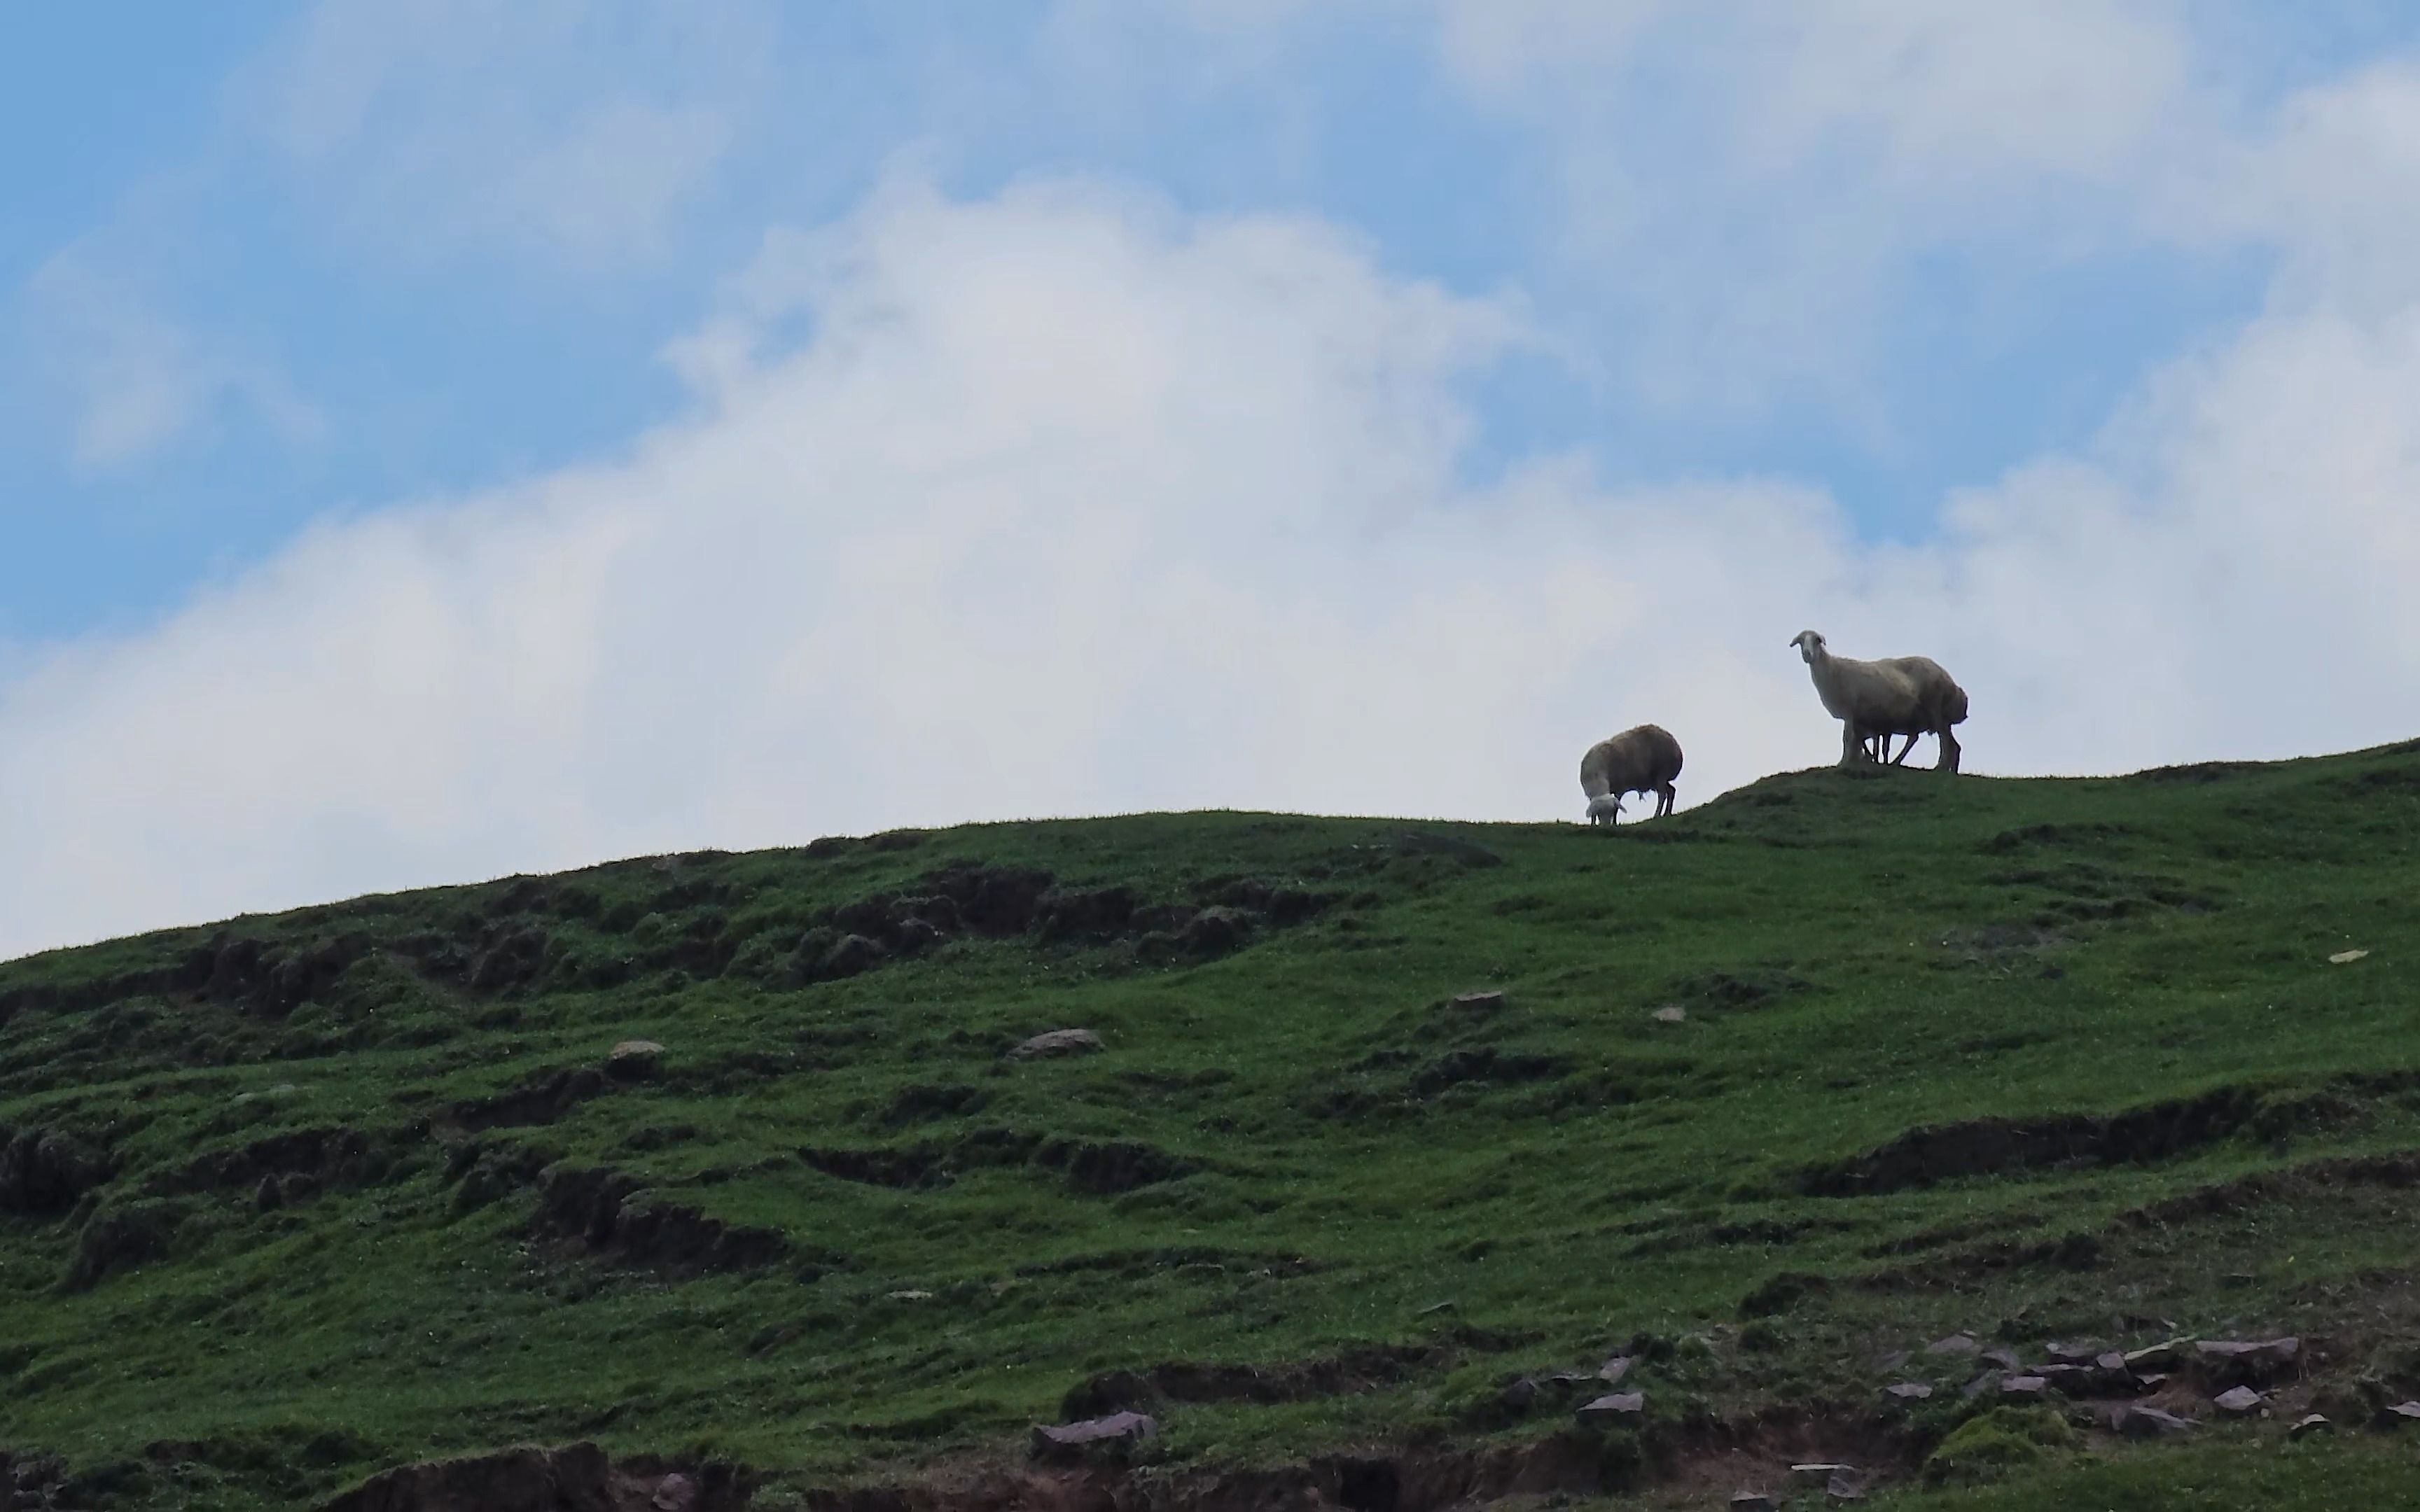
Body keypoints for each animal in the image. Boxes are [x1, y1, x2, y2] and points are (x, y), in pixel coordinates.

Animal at [1578, 720, 1694, 827]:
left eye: (1610, 812)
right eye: (1599, 813)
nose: (1606, 826)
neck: (1597, 776)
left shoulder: (1620, 788)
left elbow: (1617, 807)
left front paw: (1615, 823)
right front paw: (1593, 824)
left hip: (1662, 772)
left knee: (1662, 794)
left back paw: (1657, 815)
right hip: (1656, 779)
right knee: (1671, 791)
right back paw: (1667, 813)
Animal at [1800, 629, 1965, 774]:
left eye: (1817, 641)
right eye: (1801, 641)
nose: (1807, 654)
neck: (1832, 668)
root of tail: (1950, 680)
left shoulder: (1850, 712)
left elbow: (1849, 739)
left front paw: (1845, 763)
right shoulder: (1861, 719)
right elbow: (1860, 741)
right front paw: (1860, 760)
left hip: (1934, 708)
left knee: (1945, 742)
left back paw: (1939, 768)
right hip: (1933, 717)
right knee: (1946, 743)